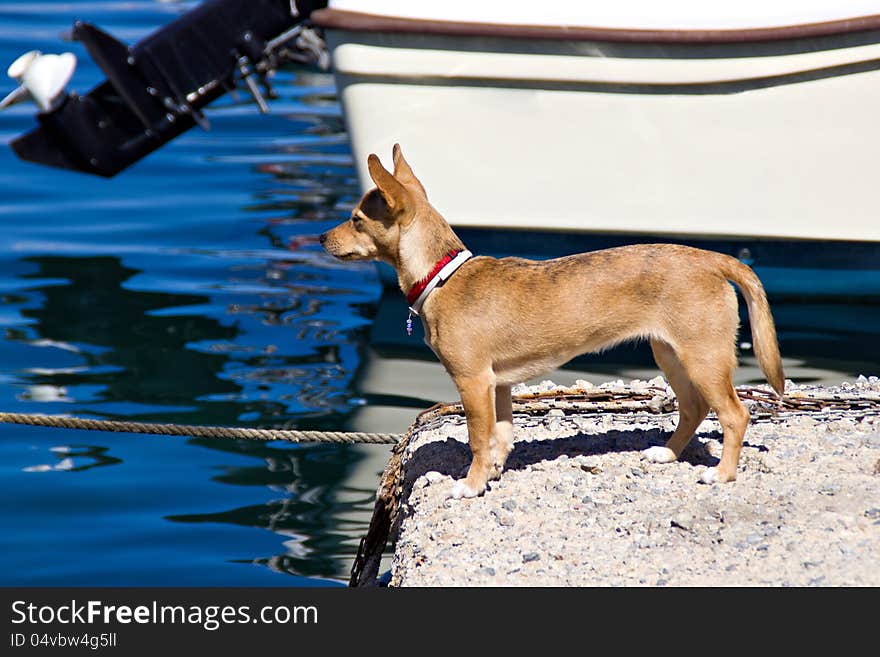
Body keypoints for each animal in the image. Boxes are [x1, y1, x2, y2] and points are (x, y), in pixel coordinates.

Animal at [322, 145, 784, 498]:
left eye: (356, 219)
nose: (322, 237)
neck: (442, 276)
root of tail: (710, 259)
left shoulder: (473, 382)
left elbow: (477, 438)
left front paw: (470, 485)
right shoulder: (499, 385)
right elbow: (501, 434)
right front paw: (493, 471)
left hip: (702, 358)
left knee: (734, 415)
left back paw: (722, 474)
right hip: (672, 356)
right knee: (694, 408)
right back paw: (667, 453)